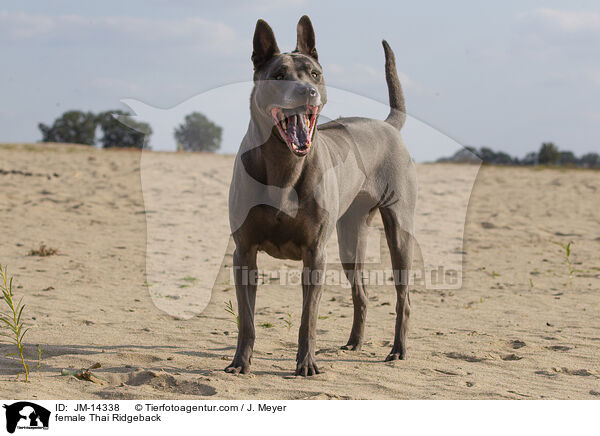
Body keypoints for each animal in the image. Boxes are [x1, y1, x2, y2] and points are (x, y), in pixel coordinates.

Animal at [226, 15, 418, 376]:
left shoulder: (315, 254)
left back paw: (398, 350)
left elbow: (308, 319)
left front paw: (306, 364)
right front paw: (240, 362)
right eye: (278, 75)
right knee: (361, 293)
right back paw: (354, 342)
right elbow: (247, 319)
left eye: (314, 73)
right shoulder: (244, 251)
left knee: (404, 297)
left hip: (399, 229)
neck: (284, 164)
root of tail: (388, 125)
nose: (307, 92)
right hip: (350, 237)